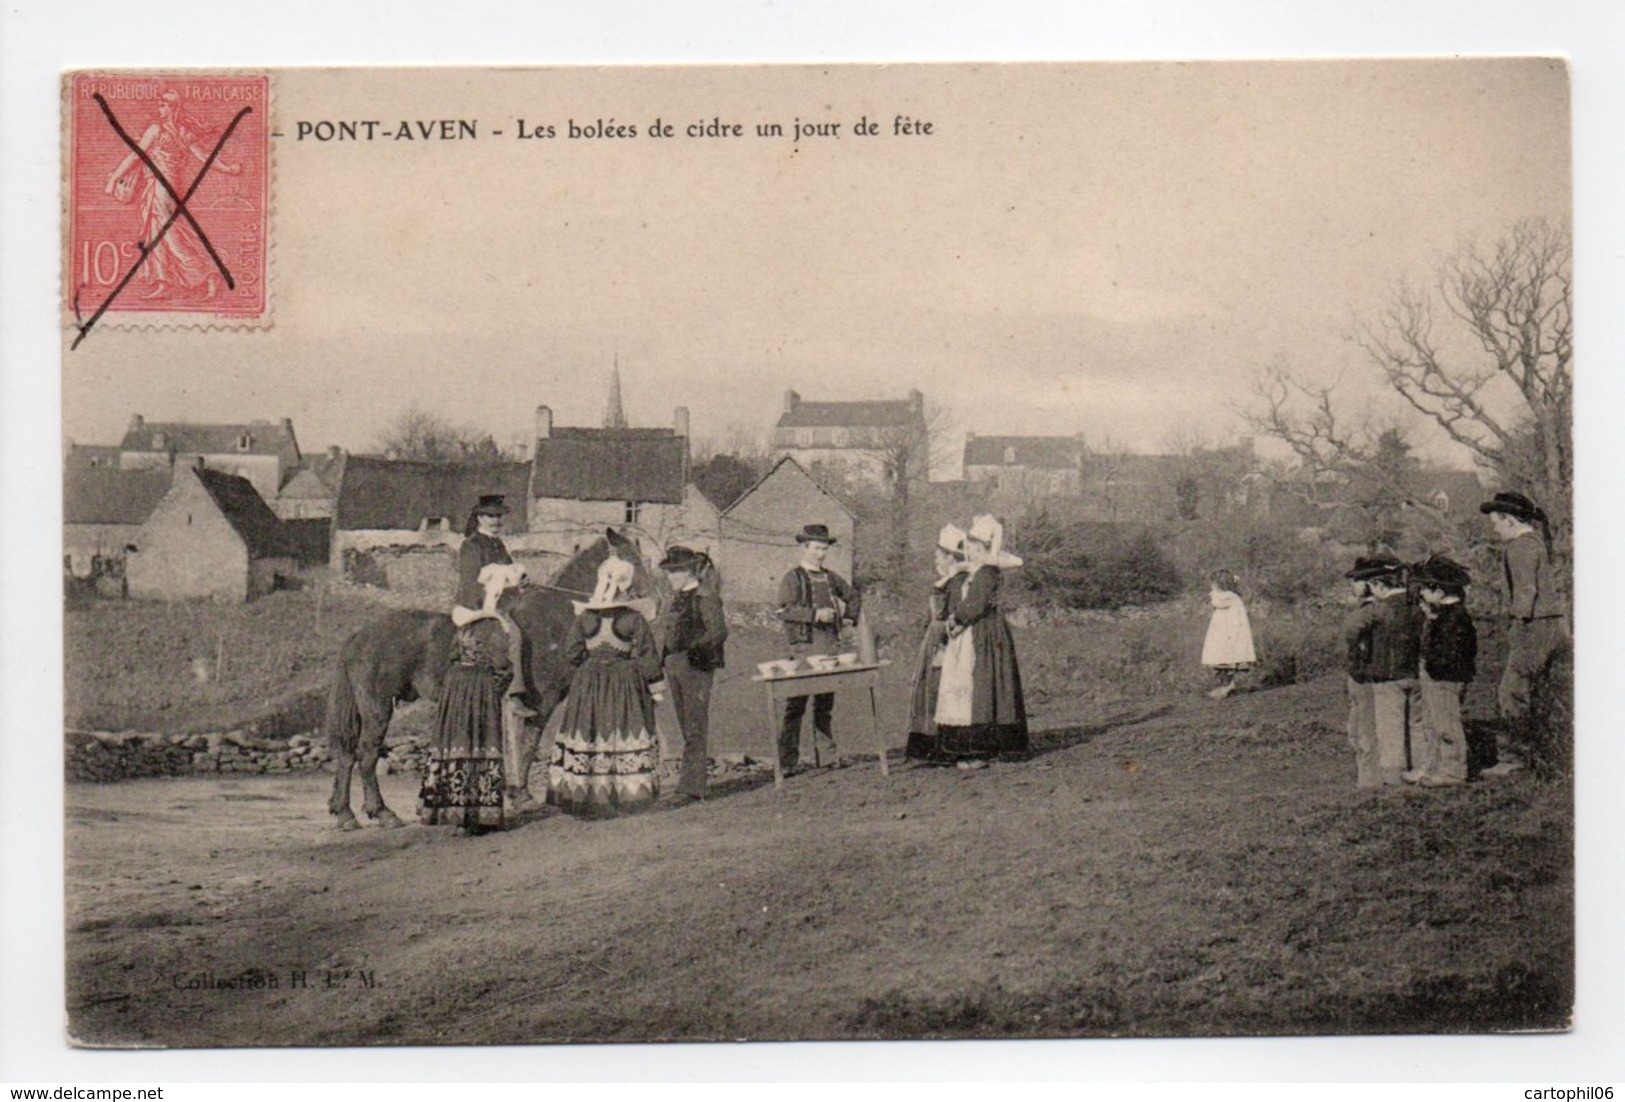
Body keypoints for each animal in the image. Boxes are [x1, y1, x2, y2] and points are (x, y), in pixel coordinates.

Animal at [323, 529, 653, 832]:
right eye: (631, 559)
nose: (649, 596)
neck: (552, 618)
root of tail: (361, 633)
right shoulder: (541, 704)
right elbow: (527, 745)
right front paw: (520, 796)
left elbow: (524, 744)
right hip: (378, 707)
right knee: (366, 753)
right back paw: (381, 812)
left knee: (347, 753)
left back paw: (345, 813)